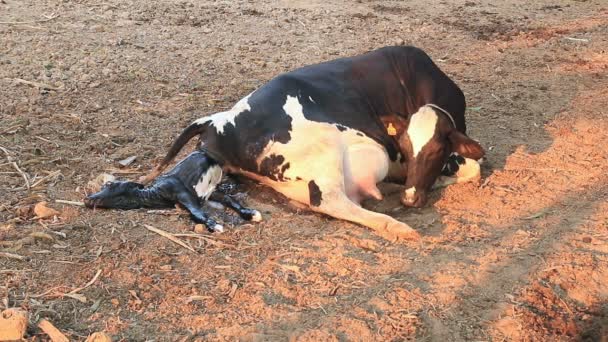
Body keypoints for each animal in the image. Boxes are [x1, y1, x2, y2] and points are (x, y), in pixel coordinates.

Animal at [83, 150, 262, 232]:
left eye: (109, 185)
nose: (88, 199)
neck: (157, 194)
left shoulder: (185, 194)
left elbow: (198, 213)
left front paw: (215, 225)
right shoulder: (208, 193)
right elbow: (230, 200)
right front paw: (250, 213)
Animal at [139, 46, 484, 242]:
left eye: (435, 149)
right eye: (408, 147)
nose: (411, 199)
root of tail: (219, 121)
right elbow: (473, 169)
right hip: (333, 149)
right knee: (330, 200)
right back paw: (395, 226)